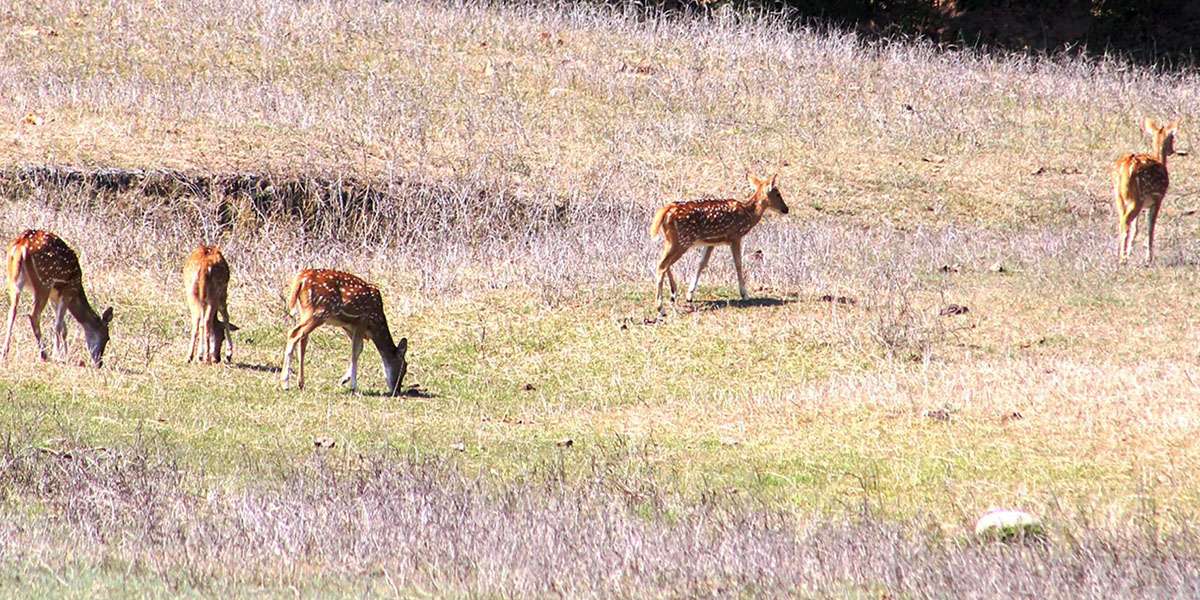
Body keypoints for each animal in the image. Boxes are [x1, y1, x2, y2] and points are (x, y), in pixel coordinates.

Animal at [3, 228, 113, 364]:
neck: (77, 290)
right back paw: (44, 354)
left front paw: (66, 354)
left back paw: (5, 353)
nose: (99, 363)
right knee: (33, 315)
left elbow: (64, 328)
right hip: (44, 282)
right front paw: (58, 354)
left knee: (12, 312)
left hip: (13, 280)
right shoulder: (68, 291)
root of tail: (21, 246)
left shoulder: (54, 297)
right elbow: (58, 325)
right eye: (107, 337)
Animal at [279, 270, 408, 396]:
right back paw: (285, 383)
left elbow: (359, 348)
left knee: (302, 341)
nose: (396, 391)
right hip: (319, 312)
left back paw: (301, 383)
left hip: (305, 310)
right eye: (404, 368)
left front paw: (344, 379)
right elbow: (356, 350)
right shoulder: (362, 321)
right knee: (293, 333)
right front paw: (353, 386)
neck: (376, 324)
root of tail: (301, 278)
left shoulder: (349, 326)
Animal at [1113, 118, 1180, 264]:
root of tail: (1126, 168)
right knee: (1125, 222)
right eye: (1172, 137)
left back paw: (1121, 254)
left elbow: (1136, 228)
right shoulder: (1158, 198)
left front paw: (1130, 251)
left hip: (1119, 196)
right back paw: (1122, 258)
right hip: (1139, 197)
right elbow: (1150, 227)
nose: (1171, 151)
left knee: (1122, 221)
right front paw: (1149, 257)